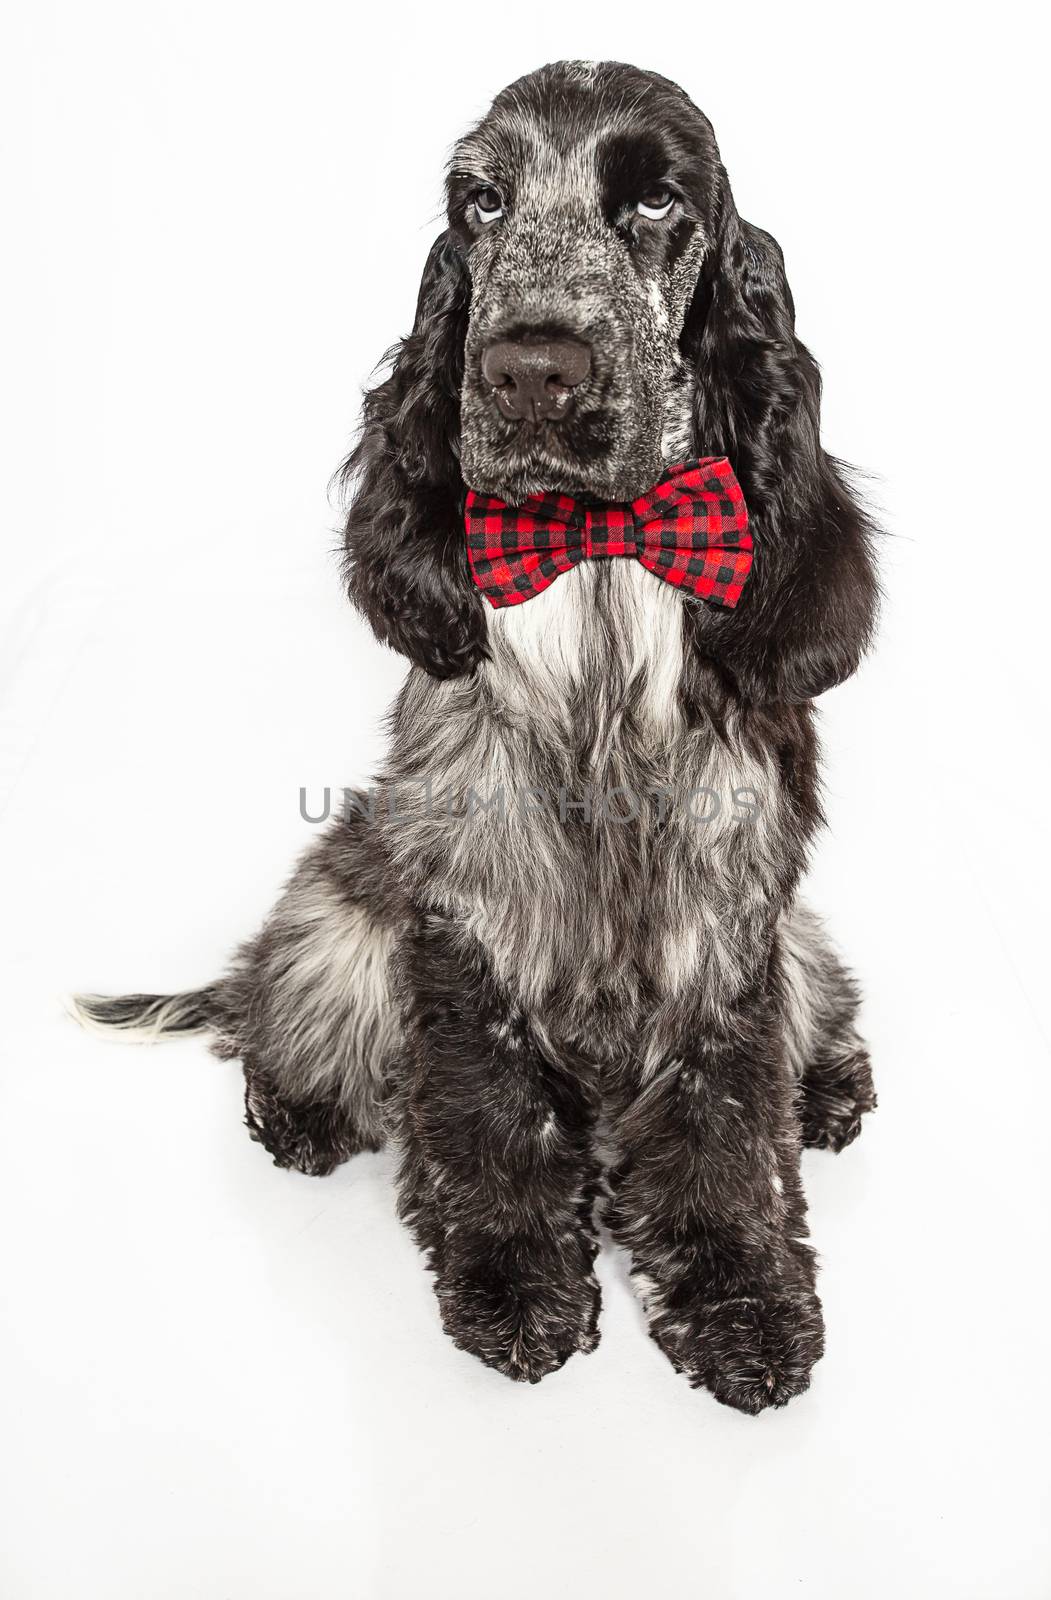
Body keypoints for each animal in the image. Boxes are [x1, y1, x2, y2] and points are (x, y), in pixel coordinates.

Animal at [75, 62, 876, 1414]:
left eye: (656, 199)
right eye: (483, 202)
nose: (529, 370)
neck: (596, 564)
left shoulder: (730, 923)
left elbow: (724, 1130)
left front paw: (744, 1307)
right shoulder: (466, 920)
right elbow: (491, 1115)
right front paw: (512, 1291)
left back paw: (830, 1088)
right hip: (339, 913)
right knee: (283, 1019)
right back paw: (298, 1113)